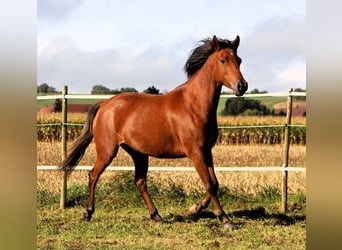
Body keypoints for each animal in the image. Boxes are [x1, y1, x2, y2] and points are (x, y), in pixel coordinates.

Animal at [59, 34, 248, 229]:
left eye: (239, 60)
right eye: (223, 60)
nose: (242, 86)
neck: (194, 104)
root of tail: (104, 104)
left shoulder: (206, 151)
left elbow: (215, 184)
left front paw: (195, 208)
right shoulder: (196, 152)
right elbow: (209, 184)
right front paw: (226, 220)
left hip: (138, 153)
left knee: (140, 182)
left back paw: (156, 216)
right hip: (107, 152)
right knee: (93, 175)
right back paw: (88, 213)